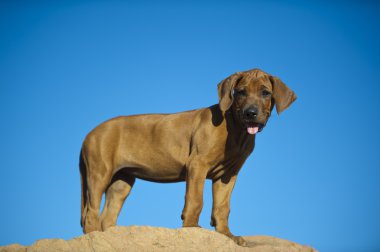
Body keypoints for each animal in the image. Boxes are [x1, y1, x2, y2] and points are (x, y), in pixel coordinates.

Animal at [79, 68, 296, 245]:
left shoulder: (228, 175)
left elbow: (222, 206)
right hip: (99, 173)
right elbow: (195, 199)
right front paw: (191, 226)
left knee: (107, 216)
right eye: (241, 92)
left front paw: (226, 234)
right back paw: (92, 237)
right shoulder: (197, 164)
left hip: (121, 182)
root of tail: (89, 134)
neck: (235, 129)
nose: (250, 113)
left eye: (265, 93)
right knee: (91, 212)